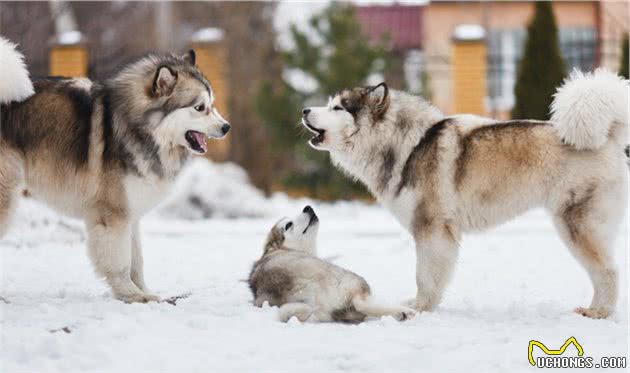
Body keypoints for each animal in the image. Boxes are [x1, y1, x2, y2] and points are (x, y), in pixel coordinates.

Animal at [0, 37, 232, 302]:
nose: (226, 127)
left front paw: (144, 292)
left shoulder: (130, 211)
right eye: (199, 107)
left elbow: (136, 261)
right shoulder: (113, 213)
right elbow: (120, 261)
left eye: (211, 104)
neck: (137, 126)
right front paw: (130, 294)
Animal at [248, 205, 420, 322]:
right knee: (362, 304)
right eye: (288, 225)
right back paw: (403, 311)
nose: (307, 207)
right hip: (353, 281)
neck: (285, 249)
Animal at [304, 70, 628, 320]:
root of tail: (608, 136)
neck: (407, 144)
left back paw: (598, 312)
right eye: (329, 104)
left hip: (576, 224)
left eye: (338, 107)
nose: (305, 110)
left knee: (608, 271)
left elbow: (425, 276)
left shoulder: (432, 229)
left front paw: (421, 308)